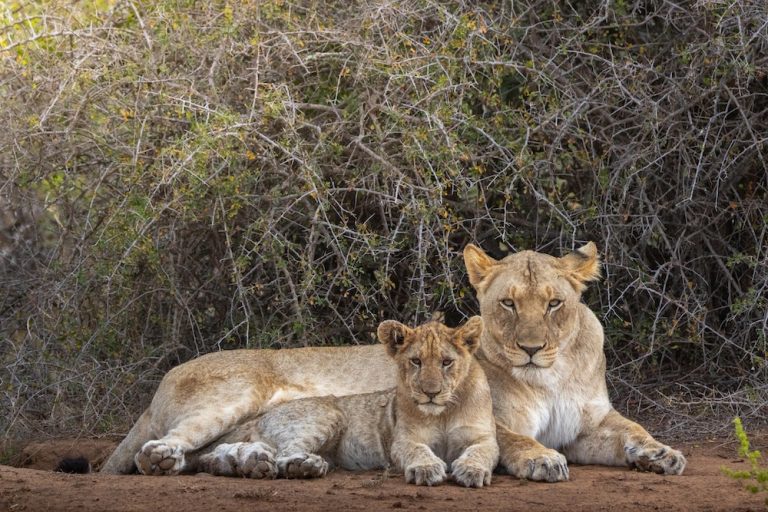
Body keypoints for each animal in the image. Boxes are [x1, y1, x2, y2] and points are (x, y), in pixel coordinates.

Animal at [189, 316, 498, 487]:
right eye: (416, 361)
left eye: (447, 362)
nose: (430, 392)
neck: (443, 412)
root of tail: (264, 414)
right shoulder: (405, 440)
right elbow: (418, 451)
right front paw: (426, 469)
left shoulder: (484, 438)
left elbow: (480, 453)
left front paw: (471, 471)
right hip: (328, 414)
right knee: (284, 454)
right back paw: (304, 466)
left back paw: (251, 464)